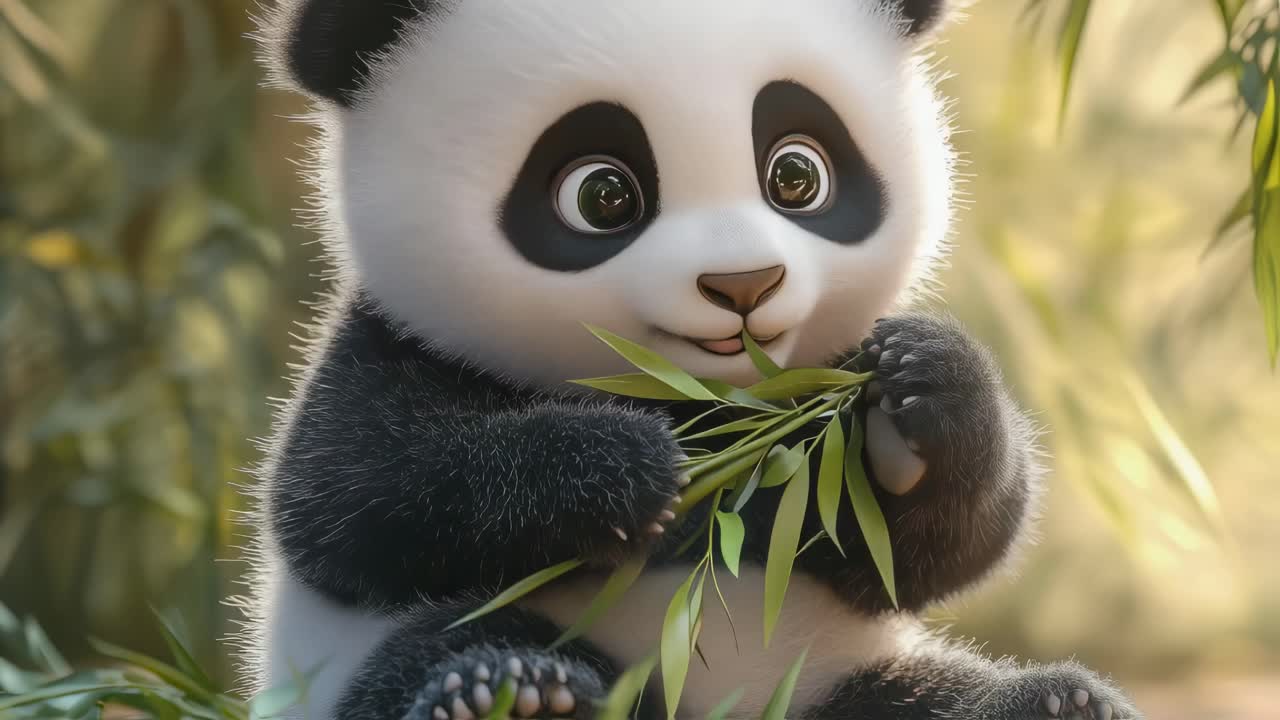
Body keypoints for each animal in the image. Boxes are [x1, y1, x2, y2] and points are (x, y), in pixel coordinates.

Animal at [236, 1, 1143, 718]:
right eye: (602, 194)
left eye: (797, 173)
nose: (744, 284)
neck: (704, 398)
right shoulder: (386, 349)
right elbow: (352, 498)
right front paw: (628, 468)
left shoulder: (810, 444)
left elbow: (925, 555)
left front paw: (923, 386)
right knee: (441, 647)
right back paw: (518, 697)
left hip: (835, 672)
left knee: (921, 697)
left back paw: (1059, 702)